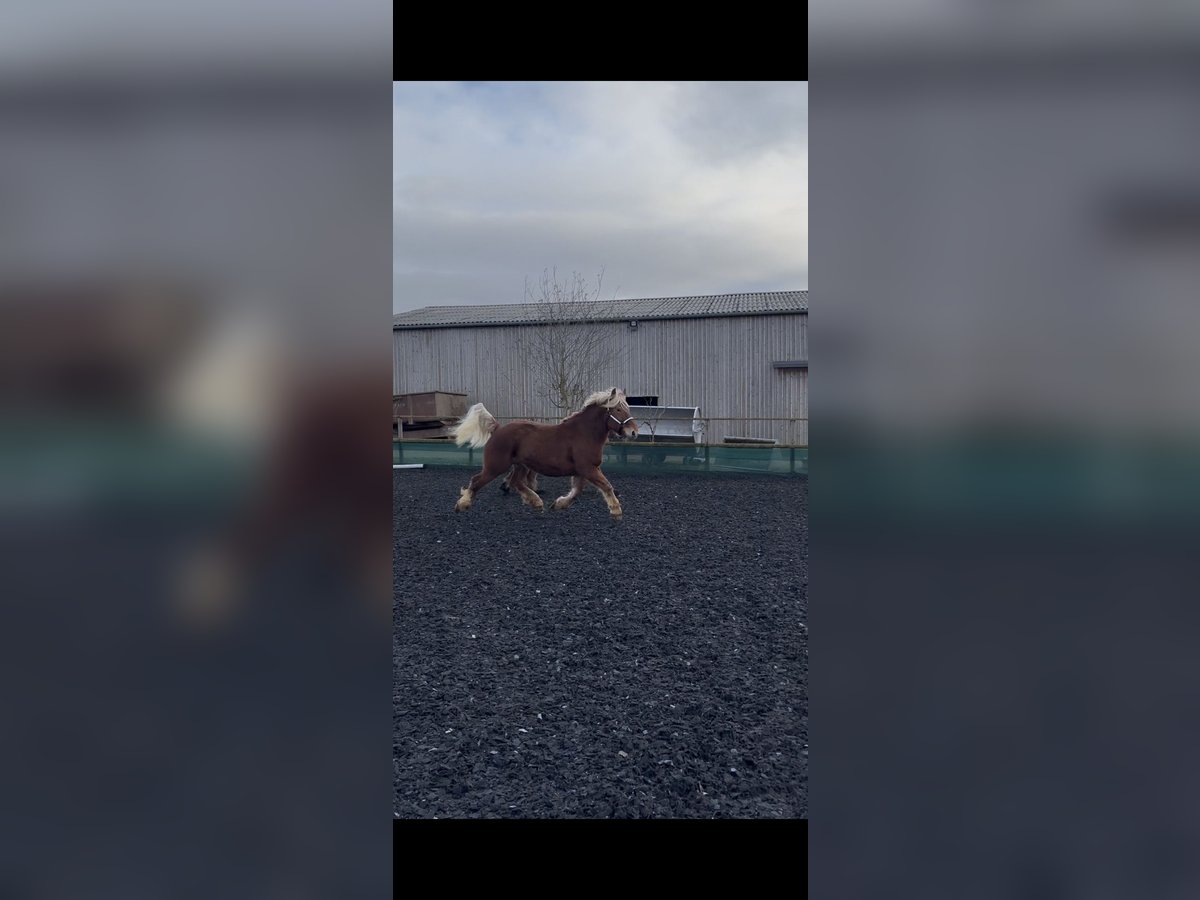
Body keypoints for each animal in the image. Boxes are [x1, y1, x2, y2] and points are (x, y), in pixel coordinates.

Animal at [449, 387, 638, 518]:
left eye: (627, 408)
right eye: (618, 410)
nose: (634, 432)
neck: (584, 433)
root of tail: (497, 428)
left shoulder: (584, 470)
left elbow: (577, 492)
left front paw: (559, 504)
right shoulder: (587, 469)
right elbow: (606, 486)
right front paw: (616, 511)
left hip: (521, 466)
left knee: (516, 482)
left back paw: (536, 502)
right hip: (496, 466)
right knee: (476, 481)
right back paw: (462, 505)